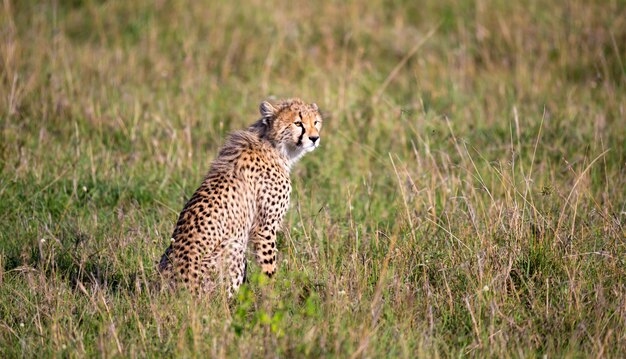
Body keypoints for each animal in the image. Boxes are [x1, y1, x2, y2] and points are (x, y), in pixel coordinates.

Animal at [157, 97, 322, 296]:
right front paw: (273, 295)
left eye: (316, 122)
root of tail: (172, 291)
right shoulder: (264, 226)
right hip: (233, 246)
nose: (314, 138)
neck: (274, 146)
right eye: (298, 123)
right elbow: (269, 267)